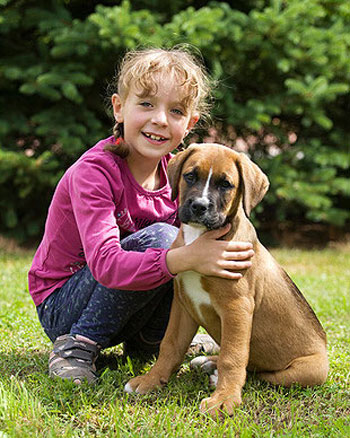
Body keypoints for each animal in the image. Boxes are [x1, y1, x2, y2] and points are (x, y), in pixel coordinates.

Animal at [124, 143, 330, 418]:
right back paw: (208, 363)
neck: (201, 237)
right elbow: (170, 345)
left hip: (307, 371)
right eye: (190, 176)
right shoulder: (183, 305)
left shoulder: (237, 308)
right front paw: (150, 381)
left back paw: (216, 375)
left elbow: (233, 357)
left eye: (225, 184)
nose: (199, 206)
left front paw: (223, 399)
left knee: (262, 374)